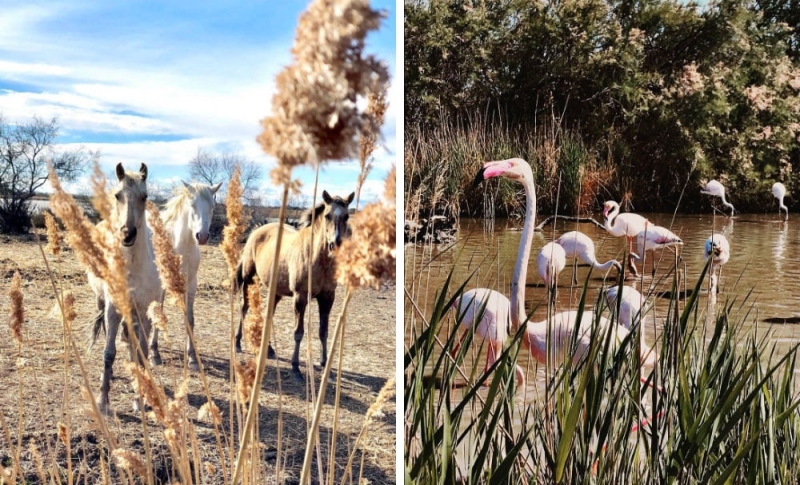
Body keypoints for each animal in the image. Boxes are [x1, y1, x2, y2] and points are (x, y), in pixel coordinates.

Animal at [88, 164, 160, 414]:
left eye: (144, 196)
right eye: (118, 195)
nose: (127, 234)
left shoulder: (143, 312)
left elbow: (142, 353)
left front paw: (141, 399)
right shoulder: (113, 310)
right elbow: (109, 353)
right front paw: (102, 401)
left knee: (132, 345)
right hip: (102, 302)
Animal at [148, 182, 219, 370]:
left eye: (212, 206)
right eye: (192, 205)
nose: (202, 236)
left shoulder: (191, 285)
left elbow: (190, 319)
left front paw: (192, 357)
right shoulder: (161, 286)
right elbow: (159, 313)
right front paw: (154, 353)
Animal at [234, 191, 354, 380]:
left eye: (347, 216)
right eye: (327, 215)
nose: (335, 244)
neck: (318, 259)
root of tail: (256, 231)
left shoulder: (327, 297)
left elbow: (324, 331)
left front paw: (325, 365)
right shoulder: (300, 297)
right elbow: (298, 332)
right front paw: (296, 367)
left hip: (275, 291)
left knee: (269, 315)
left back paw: (269, 349)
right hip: (248, 279)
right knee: (244, 307)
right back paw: (238, 342)